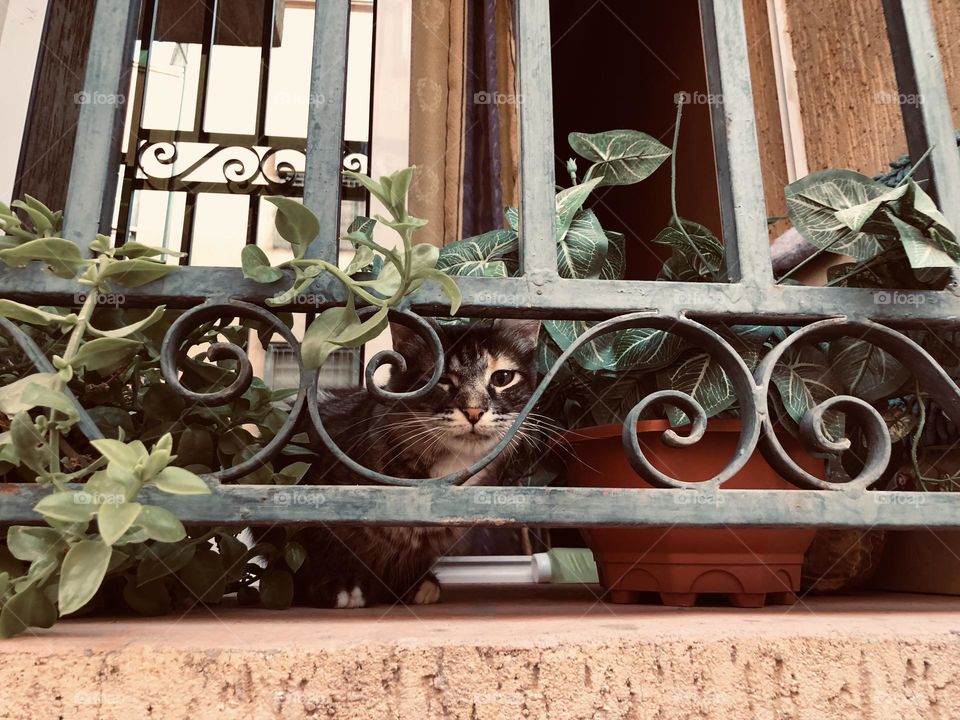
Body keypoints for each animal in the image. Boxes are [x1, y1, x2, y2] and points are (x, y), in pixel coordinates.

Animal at [292, 320, 544, 608]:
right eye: (442, 380)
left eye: (502, 378)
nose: (474, 411)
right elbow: (315, 552)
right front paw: (340, 585)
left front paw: (411, 585)